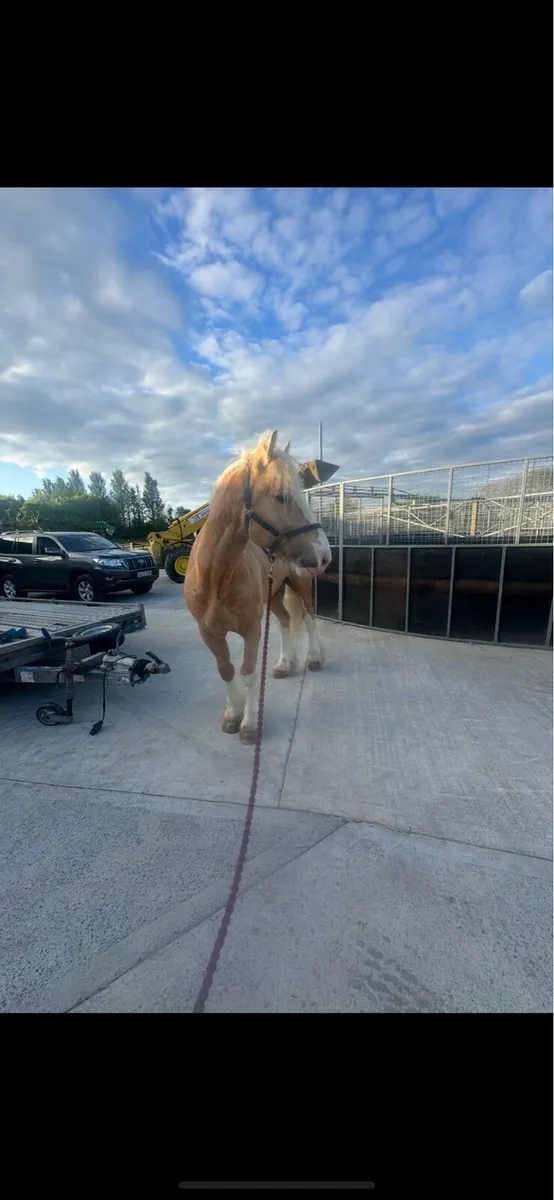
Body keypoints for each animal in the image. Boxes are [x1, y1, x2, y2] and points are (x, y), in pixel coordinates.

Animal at [184, 430, 332, 744]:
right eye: (281, 496)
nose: (324, 555)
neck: (216, 576)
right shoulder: (208, 632)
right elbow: (226, 670)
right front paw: (232, 713)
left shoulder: (251, 629)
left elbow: (249, 673)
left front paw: (249, 724)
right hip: (274, 594)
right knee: (286, 621)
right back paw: (284, 664)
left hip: (300, 584)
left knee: (309, 619)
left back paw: (313, 659)